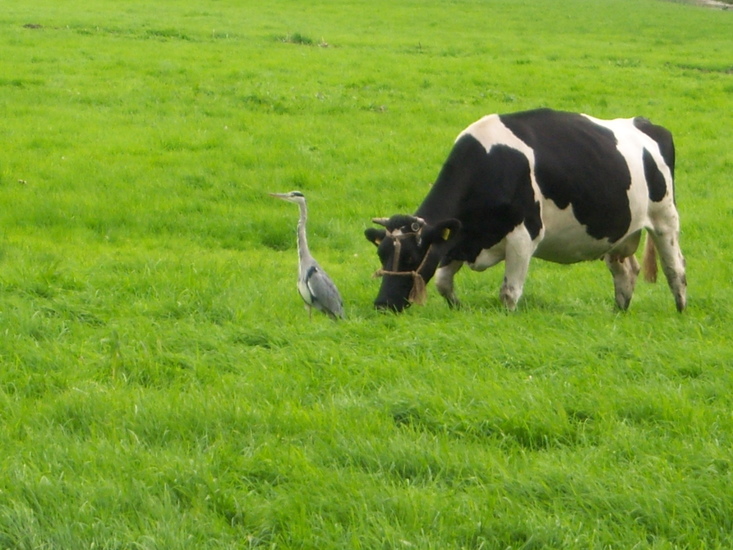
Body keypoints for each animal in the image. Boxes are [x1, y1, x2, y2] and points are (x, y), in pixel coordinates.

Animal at [365, 108, 686, 313]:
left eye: (411, 257)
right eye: (381, 254)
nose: (382, 304)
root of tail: (644, 123)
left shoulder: (524, 235)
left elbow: (509, 293)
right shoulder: (461, 237)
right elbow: (444, 283)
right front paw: (457, 307)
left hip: (665, 218)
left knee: (676, 268)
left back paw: (680, 309)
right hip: (617, 232)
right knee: (626, 271)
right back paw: (619, 311)